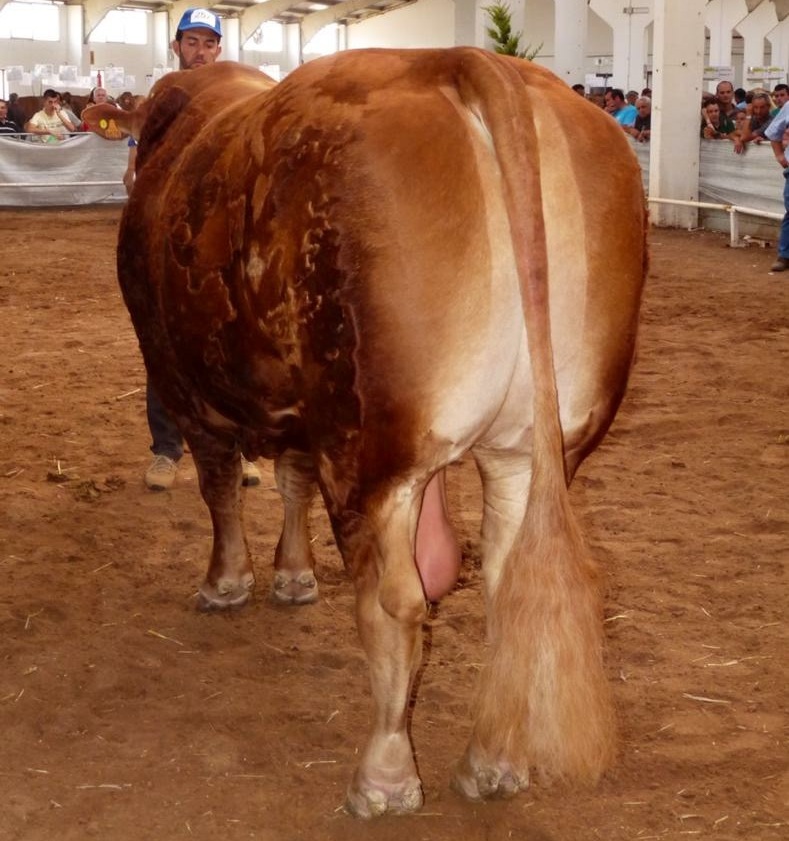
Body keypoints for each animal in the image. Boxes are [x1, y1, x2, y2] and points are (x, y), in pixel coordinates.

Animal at [83, 50, 648, 812]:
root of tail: (467, 61)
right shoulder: (298, 404)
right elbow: (289, 479)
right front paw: (293, 576)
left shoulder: (184, 381)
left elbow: (220, 486)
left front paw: (226, 582)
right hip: (531, 447)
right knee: (506, 587)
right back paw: (492, 761)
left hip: (372, 450)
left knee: (396, 603)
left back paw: (384, 775)